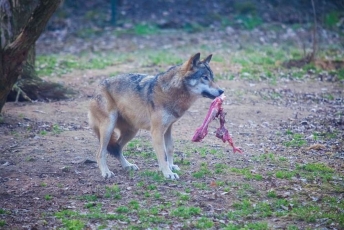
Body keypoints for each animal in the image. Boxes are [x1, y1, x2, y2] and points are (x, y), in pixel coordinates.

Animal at [87, 52, 224, 180]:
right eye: (204, 77)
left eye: (212, 77)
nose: (222, 91)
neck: (172, 92)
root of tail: (96, 88)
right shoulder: (157, 131)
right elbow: (162, 153)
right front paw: (168, 173)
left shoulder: (168, 128)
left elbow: (170, 148)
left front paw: (171, 166)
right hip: (108, 129)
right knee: (100, 152)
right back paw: (106, 172)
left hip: (132, 131)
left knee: (117, 148)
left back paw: (128, 166)